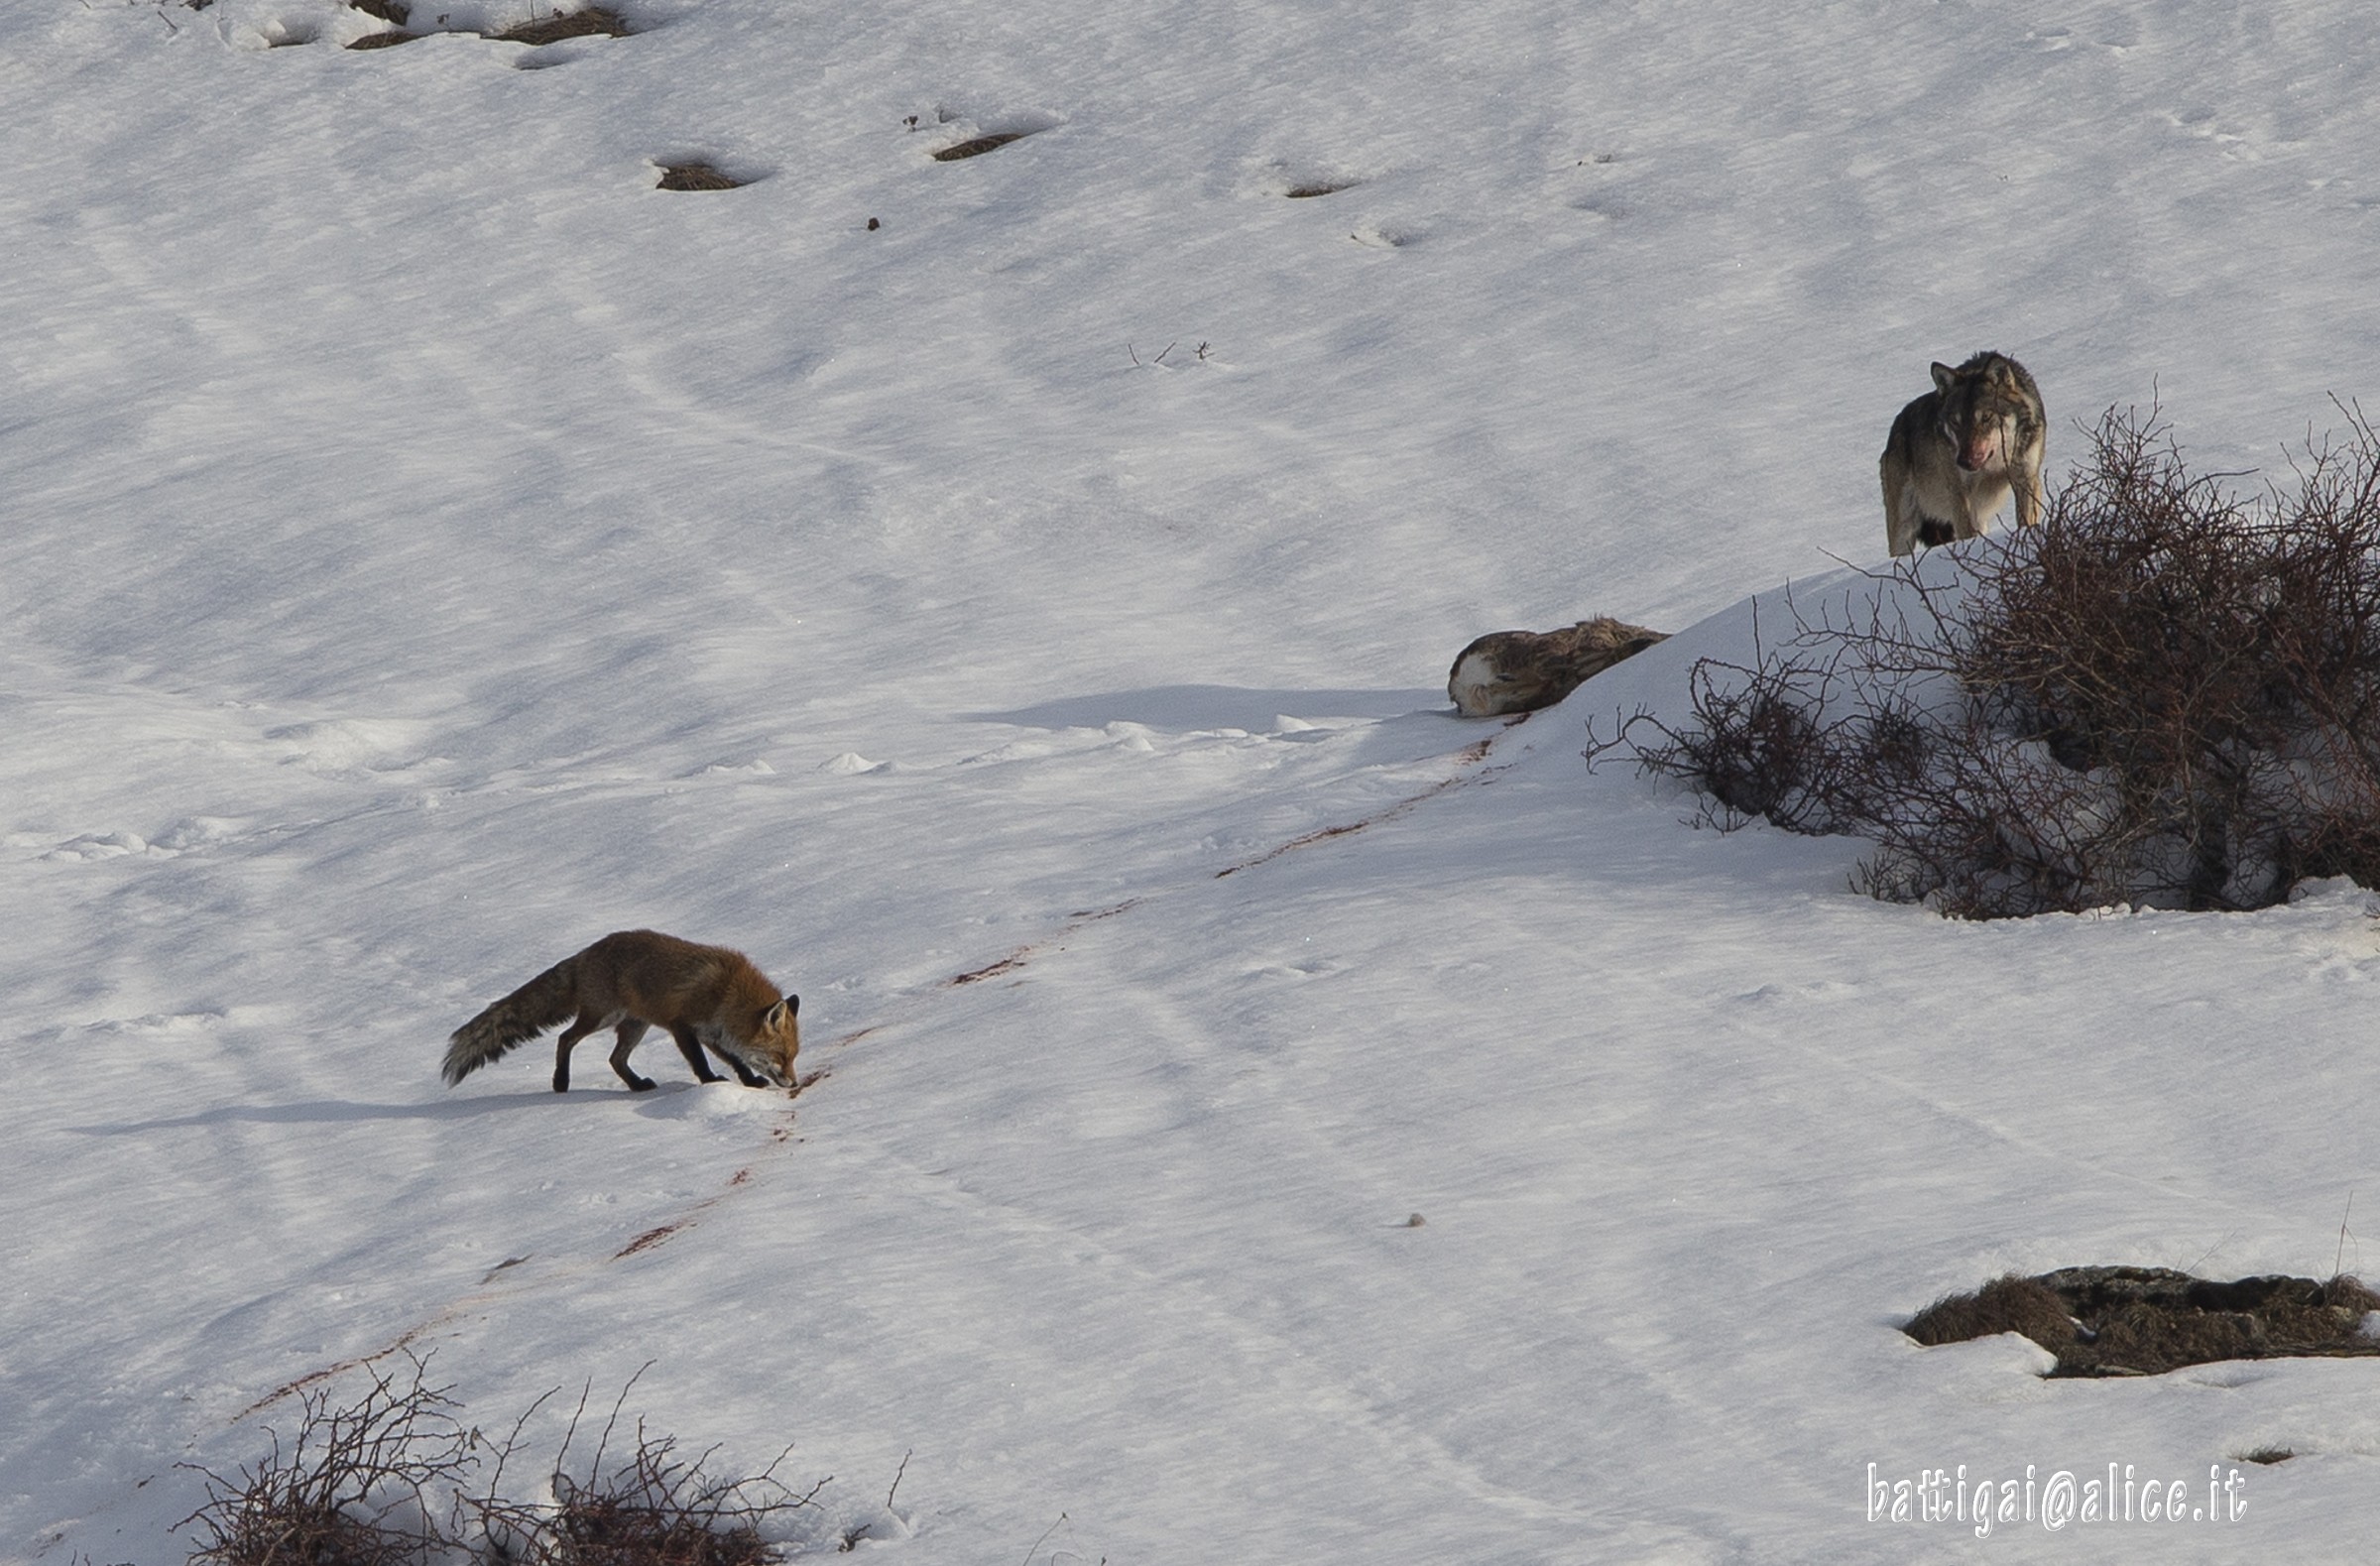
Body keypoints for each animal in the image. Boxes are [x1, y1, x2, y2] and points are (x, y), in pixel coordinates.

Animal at [443, 930, 800, 1093]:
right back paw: (561, 1081)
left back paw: (637, 1084)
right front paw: (711, 1081)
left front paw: (750, 1081)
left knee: (615, 1059)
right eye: (782, 1056)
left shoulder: (713, 1033)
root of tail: (583, 954)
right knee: (565, 1038)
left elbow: (737, 1059)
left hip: (634, 1025)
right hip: (603, 1017)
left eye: (794, 1057)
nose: (795, 1083)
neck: (727, 992)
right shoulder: (682, 1026)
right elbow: (699, 1062)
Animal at [1880, 351, 2046, 557]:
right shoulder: (1960, 493)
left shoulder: (2026, 479)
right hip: (1904, 527)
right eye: (1955, 422)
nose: (1963, 462)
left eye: (1986, 417)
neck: (1995, 463)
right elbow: (1967, 535)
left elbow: (2027, 522)